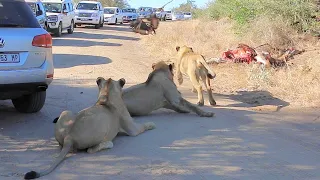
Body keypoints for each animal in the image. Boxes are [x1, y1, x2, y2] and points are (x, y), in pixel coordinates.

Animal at [23, 76, 156, 179]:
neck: (107, 95)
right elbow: (143, 126)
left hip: (66, 112)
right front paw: (152, 124)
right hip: (101, 127)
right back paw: (107, 144)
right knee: (91, 149)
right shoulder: (132, 128)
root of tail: (69, 137)